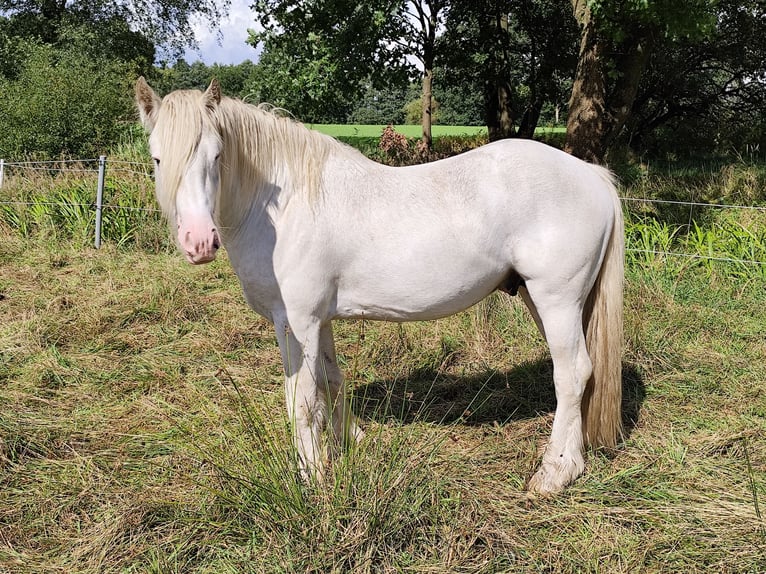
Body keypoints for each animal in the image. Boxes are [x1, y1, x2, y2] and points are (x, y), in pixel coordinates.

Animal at [136, 79, 624, 498]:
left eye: (216, 156)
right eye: (158, 158)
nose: (198, 242)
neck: (284, 205)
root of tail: (592, 175)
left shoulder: (295, 322)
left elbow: (302, 400)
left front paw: (313, 477)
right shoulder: (320, 321)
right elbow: (331, 379)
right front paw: (351, 440)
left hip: (556, 300)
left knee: (572, 373)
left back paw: (554, 472)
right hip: (542, 300)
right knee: (579, 372)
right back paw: (572, 461)